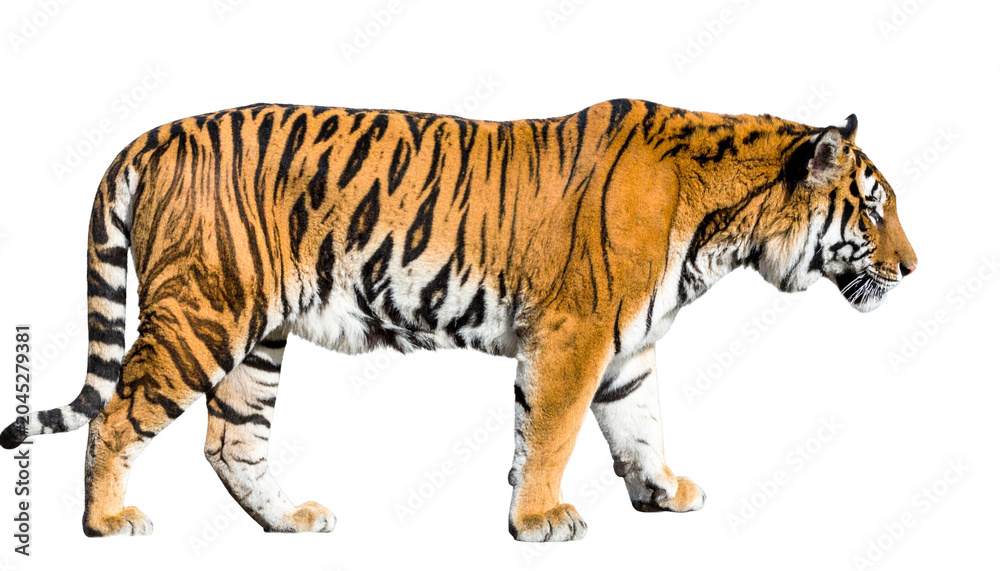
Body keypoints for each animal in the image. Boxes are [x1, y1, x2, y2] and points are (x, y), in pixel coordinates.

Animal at [0, 98, 916, 541]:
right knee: (116, 415)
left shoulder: (628, 347)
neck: (726, 230)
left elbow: (639, 422)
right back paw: (106, 523)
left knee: (231, 441)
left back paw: (290, 521)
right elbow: (551, 430)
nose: (912, 268)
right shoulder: (576, 333)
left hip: (256, 337)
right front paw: (540, 520)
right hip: (202, 315)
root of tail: (154, 135)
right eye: (873, 209)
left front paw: (659, 490)